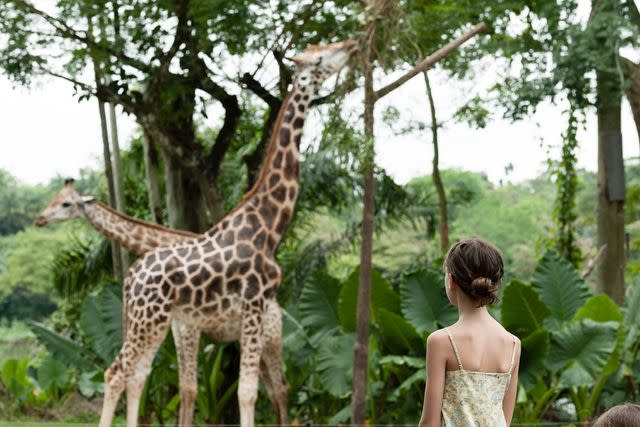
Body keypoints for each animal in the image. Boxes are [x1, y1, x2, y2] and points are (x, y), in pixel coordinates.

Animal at [31, 180, 288, 422]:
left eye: (66, 203)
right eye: (55, 198)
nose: (39, 219)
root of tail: (280, 310)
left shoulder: (188, 325)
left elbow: (189, 387)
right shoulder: (177, 324)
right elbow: (185, 387)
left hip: (269, 338)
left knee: (282, 388)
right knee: (273, 390)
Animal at [99, 40, 360, 427]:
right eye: (319, 59)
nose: (353, 45)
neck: (268, 227)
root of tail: (131, 278)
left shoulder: (245, 316)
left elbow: (245, 390)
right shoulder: (253, 305)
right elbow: (246, 392)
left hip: (152, 320)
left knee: (136, 374)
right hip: (151, 318)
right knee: (116, 372)